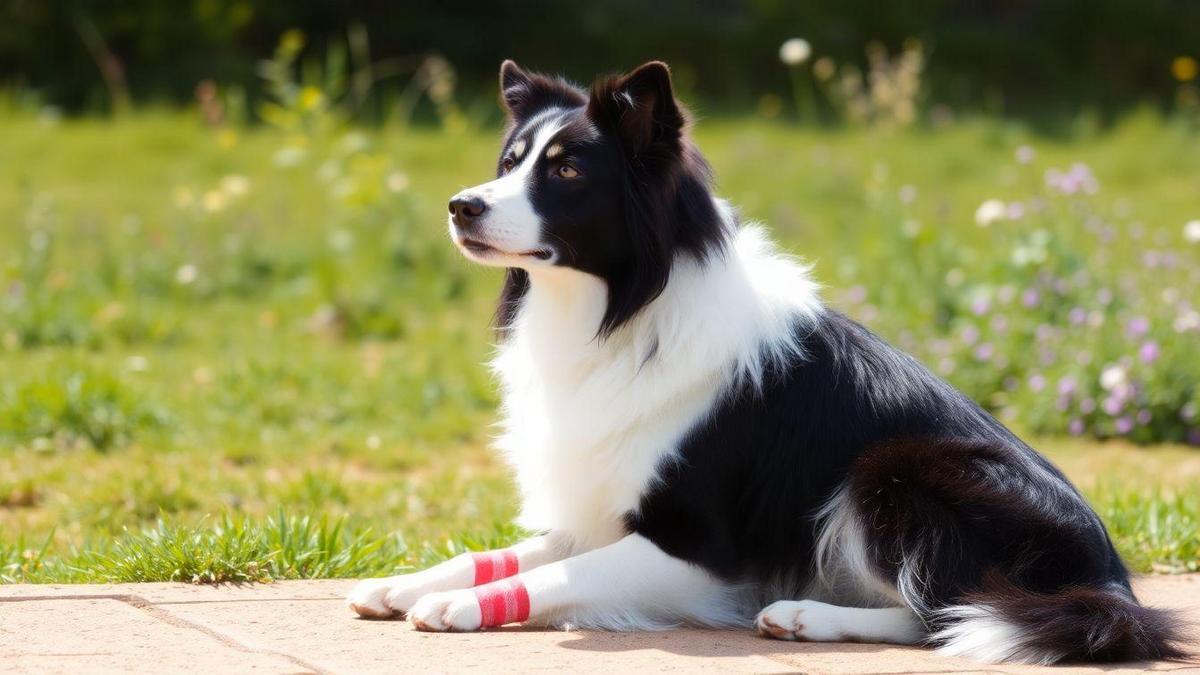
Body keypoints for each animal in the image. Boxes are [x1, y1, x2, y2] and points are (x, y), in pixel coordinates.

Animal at [345, 59, 1180, 662]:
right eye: (508, 161)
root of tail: (1112, 583)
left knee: (953, 614)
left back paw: (806, 614)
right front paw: (407, 583)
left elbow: (554, 571)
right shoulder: (602, 498)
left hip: (892, 470)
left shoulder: (699, 548)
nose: (462, 205)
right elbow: (507, 551)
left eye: (568, 170)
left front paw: (455, 605)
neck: (625, 307)